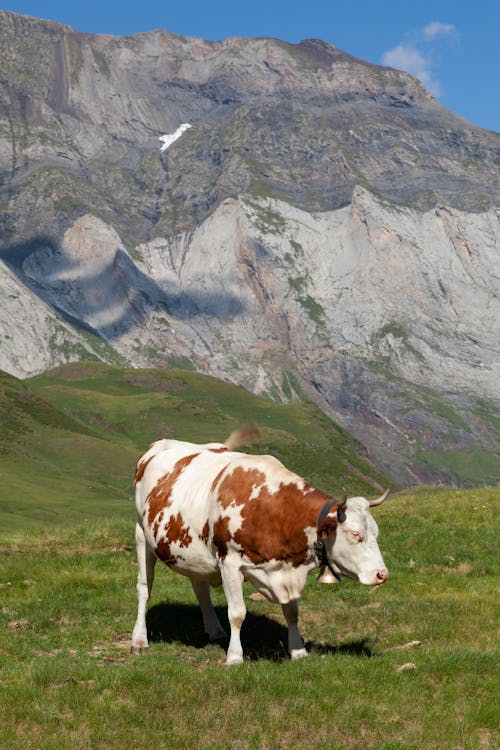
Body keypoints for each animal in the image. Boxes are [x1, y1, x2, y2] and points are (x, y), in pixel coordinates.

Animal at [131, 426, 388, 668]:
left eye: (376, 532)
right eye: (355, 534)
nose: (382, 574)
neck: (272, 509)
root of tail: (159, 445)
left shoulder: (287, 564)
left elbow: (291, 612)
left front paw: (298, 651)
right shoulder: (229, 563)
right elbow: (237, 613)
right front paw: (235, 657)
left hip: (193, 552)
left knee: (200, 588)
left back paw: (214, 630)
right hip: (142, 534)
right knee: (144, 588)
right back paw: (139, 640)